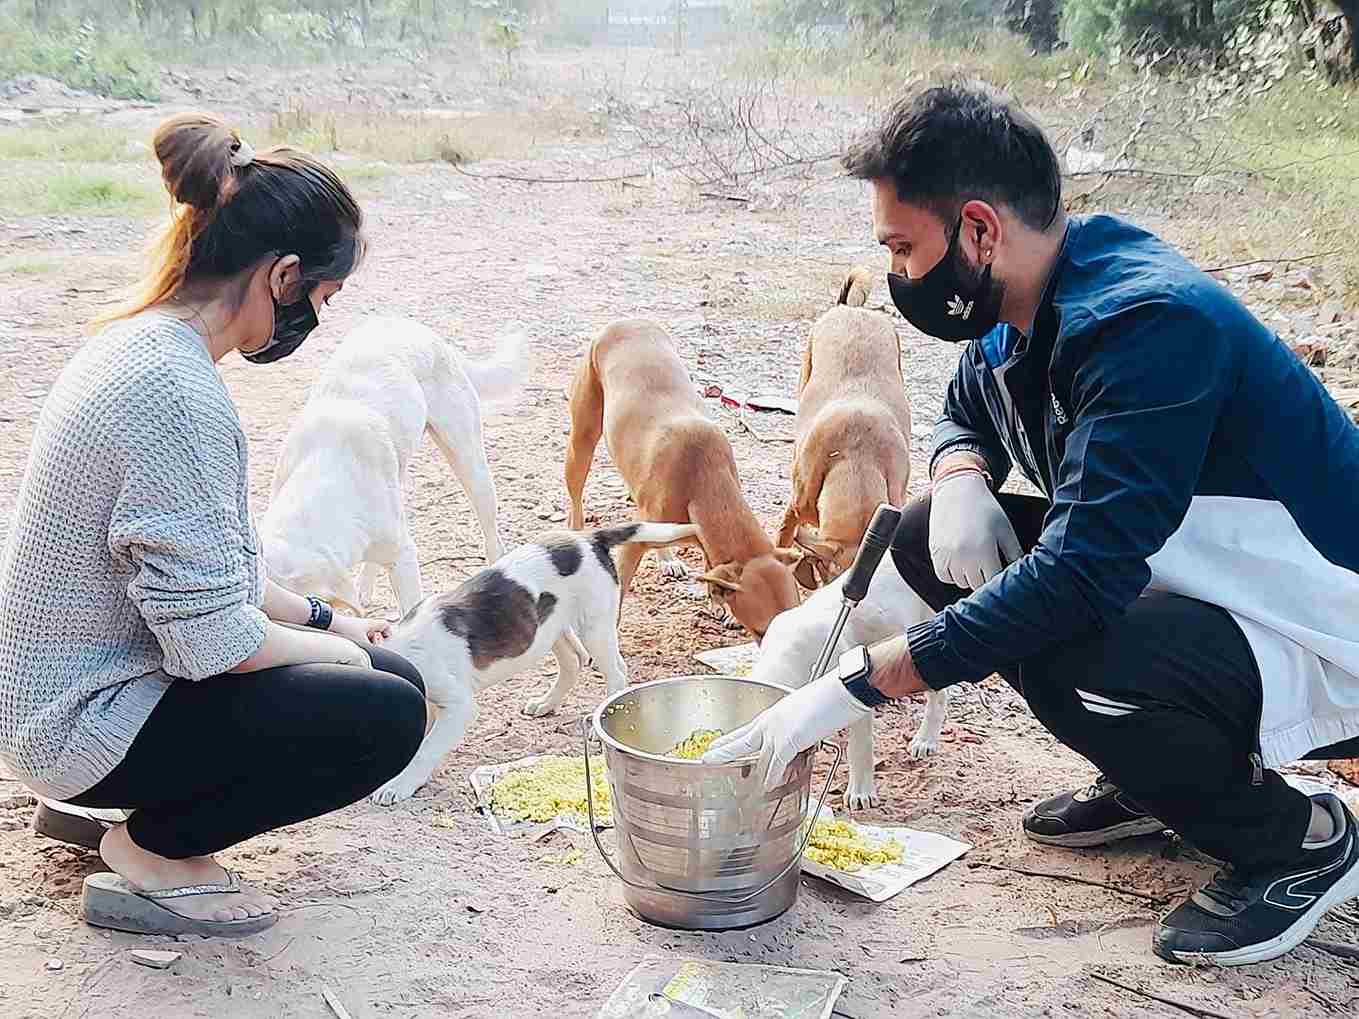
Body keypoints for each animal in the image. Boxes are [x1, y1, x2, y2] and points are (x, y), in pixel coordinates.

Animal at [369, 527, 701, 804]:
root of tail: (590, 538)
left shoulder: (458, 704)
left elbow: (427, 748)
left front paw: (400, 785)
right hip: (550, 627)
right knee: (574, 662)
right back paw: (546, 703)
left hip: (593, 626)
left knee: (616, 672)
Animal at [565, 319, 804, 638]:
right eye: (760, 632)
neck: (706, 482)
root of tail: (623, 322)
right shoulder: (633, 545)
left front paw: (721, 606)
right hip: (582, 441)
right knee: (576, 498)